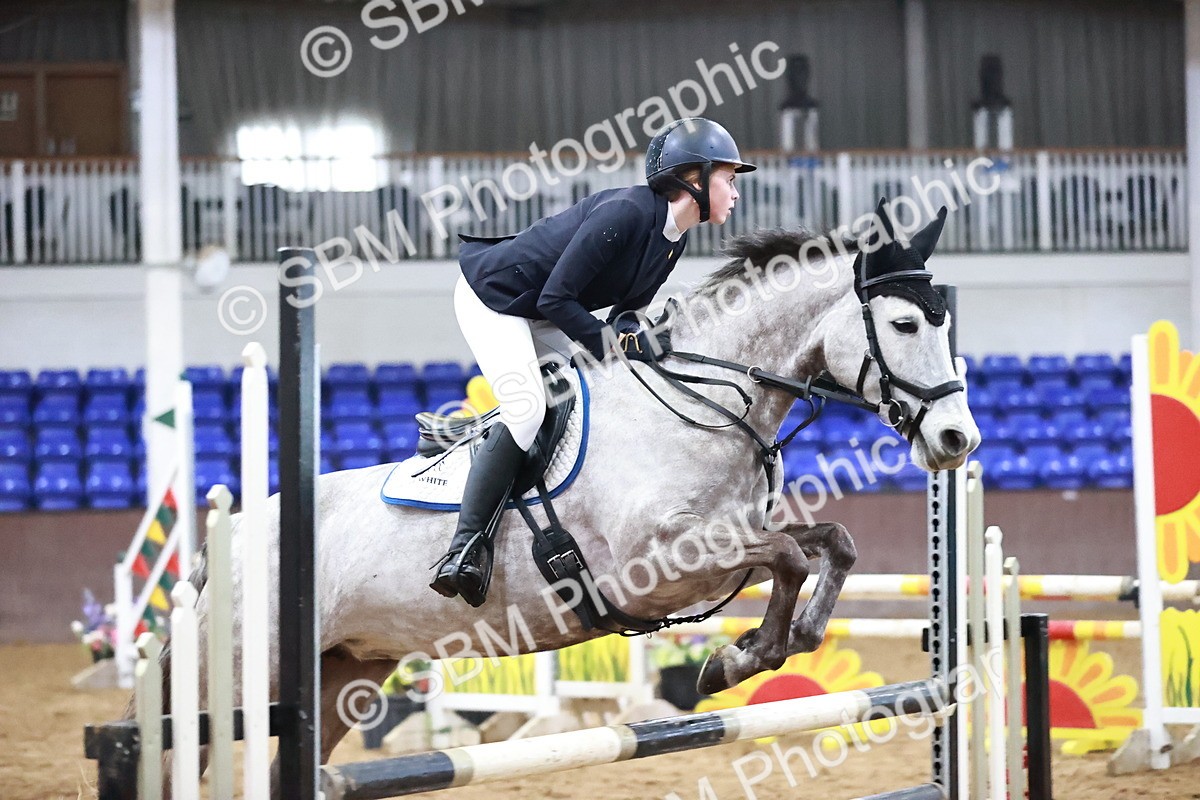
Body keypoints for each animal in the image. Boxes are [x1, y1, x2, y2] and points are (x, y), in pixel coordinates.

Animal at [138, 200, 980, 793]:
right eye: (904, 323)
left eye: (943, 323)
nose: (957, 440)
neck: (703, 403)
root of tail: (229, 535)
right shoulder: (658, 565)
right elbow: (786, 557)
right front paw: (736, 661)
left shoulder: (725, 537)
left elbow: (829, 545)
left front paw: (766, 647)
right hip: (242, 674)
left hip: (343, 672)